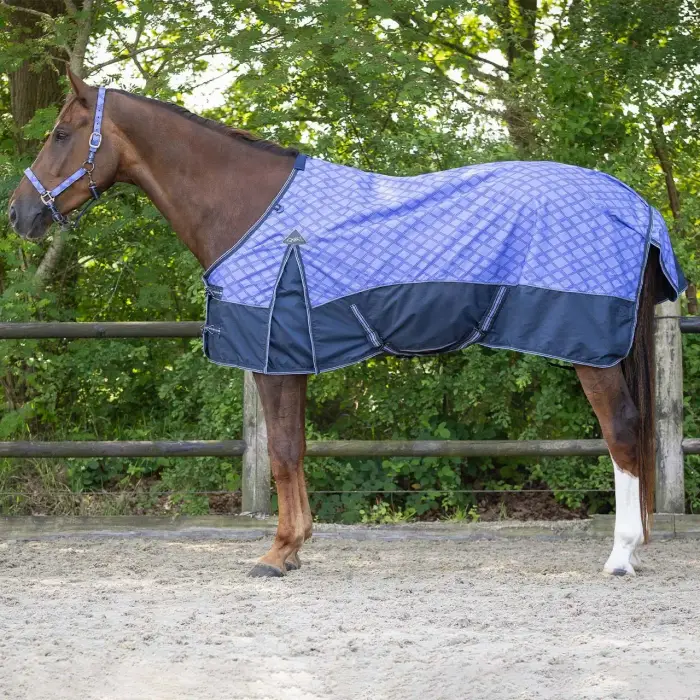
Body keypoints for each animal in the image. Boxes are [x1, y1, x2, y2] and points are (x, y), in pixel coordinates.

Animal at [8, 70, 686, 578]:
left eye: (62, 132)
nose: (18, 213)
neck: (247, 208)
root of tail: (639, 206)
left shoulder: (272, 358)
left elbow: (281, 452)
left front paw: (277, 553)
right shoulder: (292, 357)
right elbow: (296, 448)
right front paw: (295, 546)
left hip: (590, 349)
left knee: (623, 431)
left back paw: (621, 554)